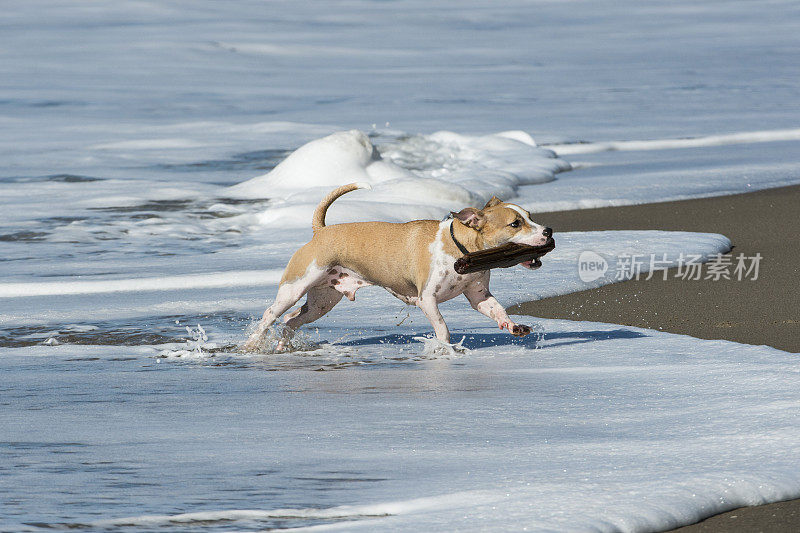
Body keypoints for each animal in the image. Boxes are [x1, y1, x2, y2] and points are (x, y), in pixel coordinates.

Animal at [242, 183, 552, 354]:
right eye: (515, 224)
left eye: (531, 217)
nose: (548, 231)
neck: (459, 247)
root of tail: (321, 231)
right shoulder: (427, 300)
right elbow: (442, 327)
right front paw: (444, 347)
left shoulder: (479, 296)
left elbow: (497, 310)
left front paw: (512, 325)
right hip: (294, 287)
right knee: (271, 315)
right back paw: (252, 345)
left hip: (322, 302)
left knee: (291, 320)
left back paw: (281, 346)